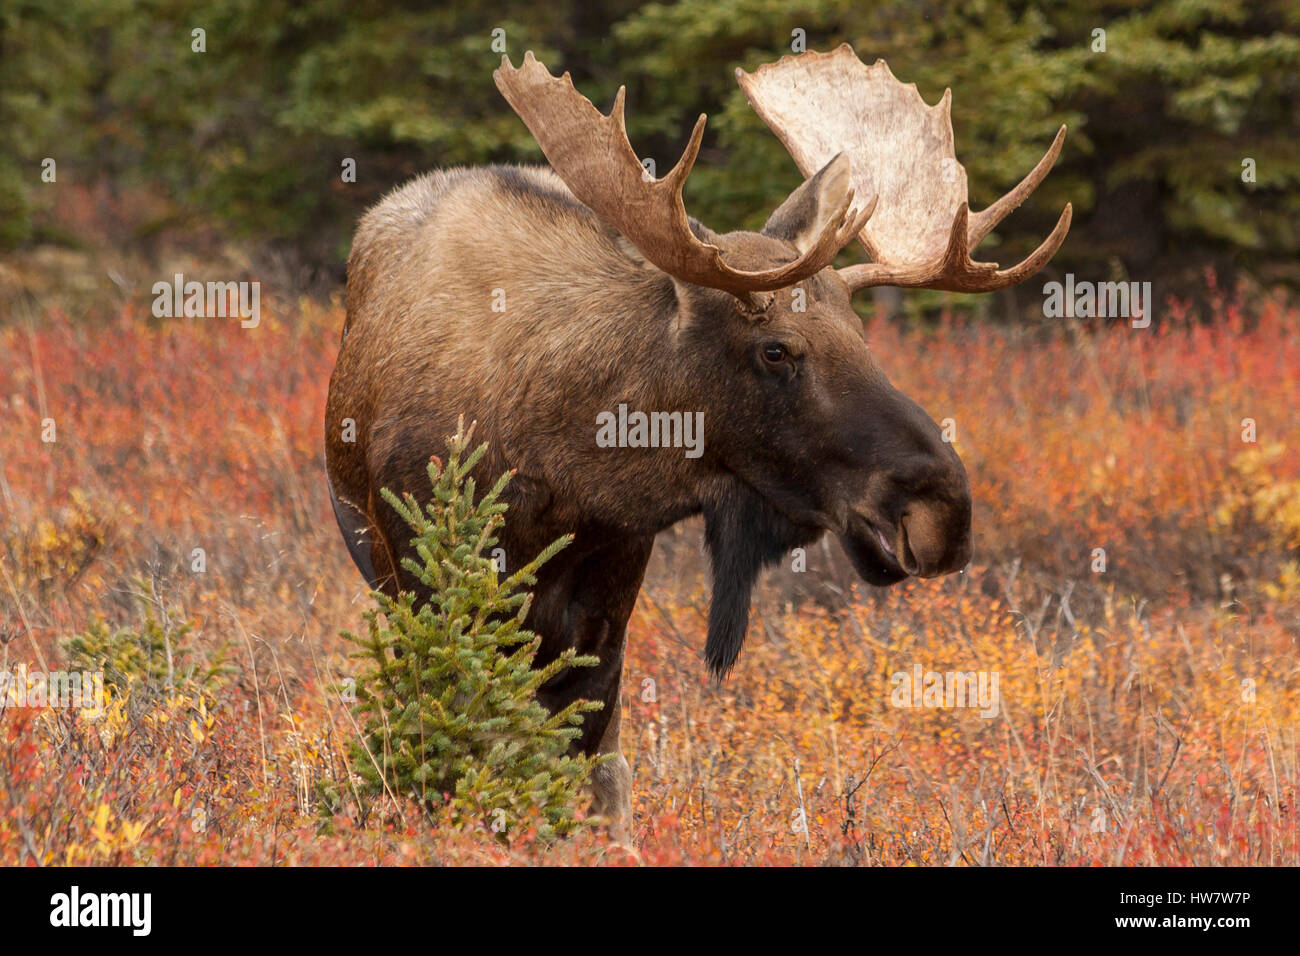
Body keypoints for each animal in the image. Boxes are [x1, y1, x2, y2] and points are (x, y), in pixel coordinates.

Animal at [322, 44, 1066, 832]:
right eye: (776, 349)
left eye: (862, 334)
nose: (945, 509)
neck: (555, 466)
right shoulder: (427, 571)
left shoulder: (615, 570)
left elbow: (594, 762)